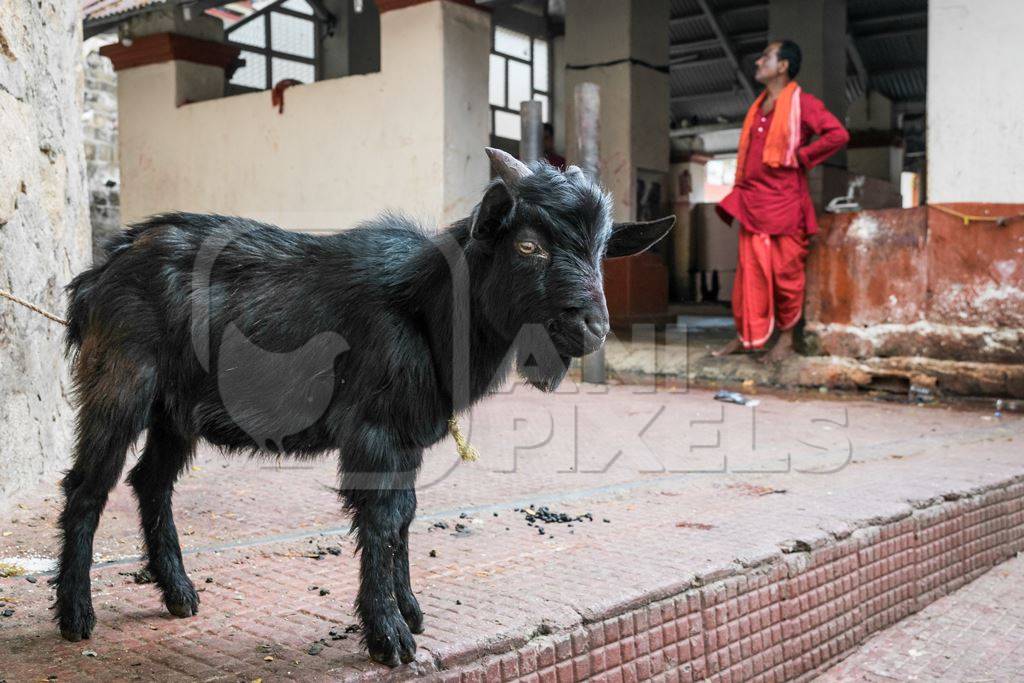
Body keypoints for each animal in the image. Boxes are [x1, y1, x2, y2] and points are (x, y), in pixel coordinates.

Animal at [54, 149, 671, 667]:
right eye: (528, 245)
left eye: (601, 249)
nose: (592, 327)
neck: (428, 307)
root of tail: (98, 274)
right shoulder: (373, 431)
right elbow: (379, 518)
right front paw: (387, 635)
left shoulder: (408, 436)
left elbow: (405, 514)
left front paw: (410, 610)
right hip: (122, 383)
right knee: (87, 486)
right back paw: (74, 615)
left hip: (174, 409)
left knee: (150, 481)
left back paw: (179, 593)